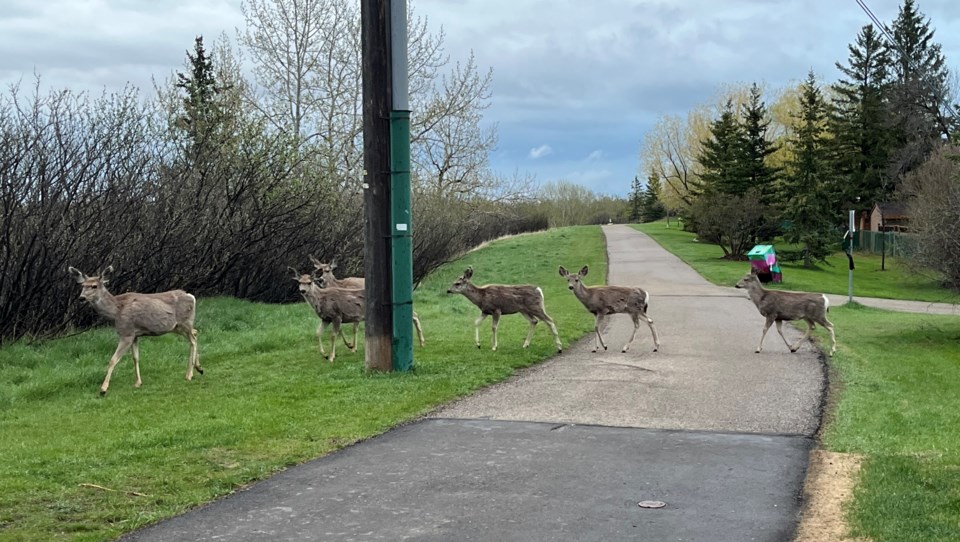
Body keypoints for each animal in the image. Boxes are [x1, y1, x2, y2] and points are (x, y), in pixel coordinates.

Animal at [67, 266, 201, 398]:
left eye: (94, 286)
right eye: (82, 285)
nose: (81, 298)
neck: (116, 312)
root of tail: (191, 296)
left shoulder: (126, 333)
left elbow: (113, 360)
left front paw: (103, 389)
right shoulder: (135, 335)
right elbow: (135, 357)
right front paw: (138, 382)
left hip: (185, 322)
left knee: (193, 340)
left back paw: (190, 374)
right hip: (177, 327)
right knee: (195, 332)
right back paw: (198, 368)